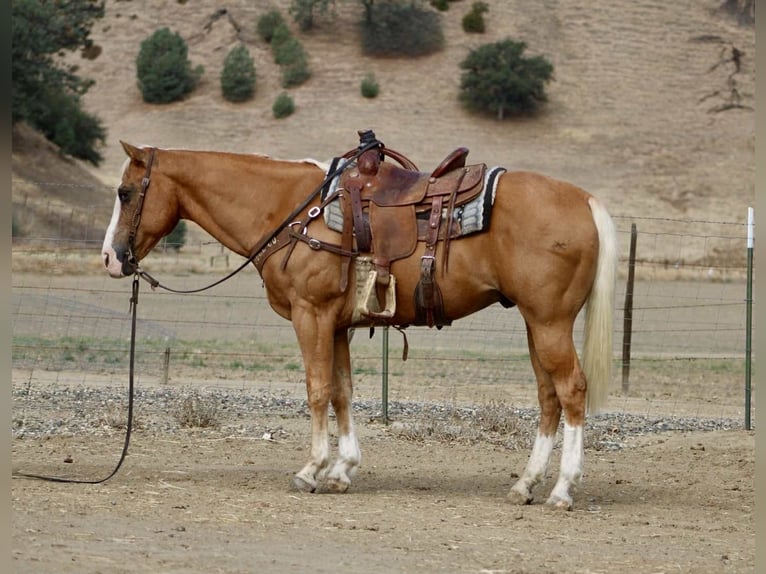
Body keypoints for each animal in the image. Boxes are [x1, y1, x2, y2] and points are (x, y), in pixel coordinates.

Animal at [101, 135, 617, 510]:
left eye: (125, 193)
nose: (111, 257)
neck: (293, 211)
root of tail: (585, 200)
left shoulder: (311, 315)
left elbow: (317, 390)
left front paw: (311, 469)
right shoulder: (337, 324)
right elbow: (342, 391)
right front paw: (342, 469)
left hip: (550, 323)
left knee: (571, 389)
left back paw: (562, 489)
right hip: (536, 324)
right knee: (548, 396)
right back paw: (526, 484)